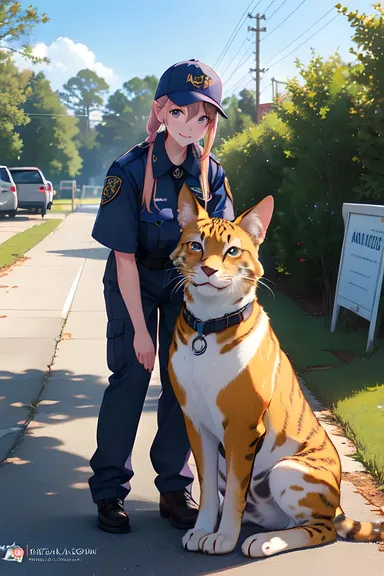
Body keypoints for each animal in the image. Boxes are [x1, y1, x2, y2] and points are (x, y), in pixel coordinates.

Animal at [169, 186, 384, 560]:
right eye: (196, 245)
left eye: (232, 250)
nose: (208, 270)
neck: (208, 327)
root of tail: (338, 503)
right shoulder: (194, 422)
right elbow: (207, 487)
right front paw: (202, 530)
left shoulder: (242, 426)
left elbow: (235, 493)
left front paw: (224, 539)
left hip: (287, 470)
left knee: (322, 529)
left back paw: (264, 542)